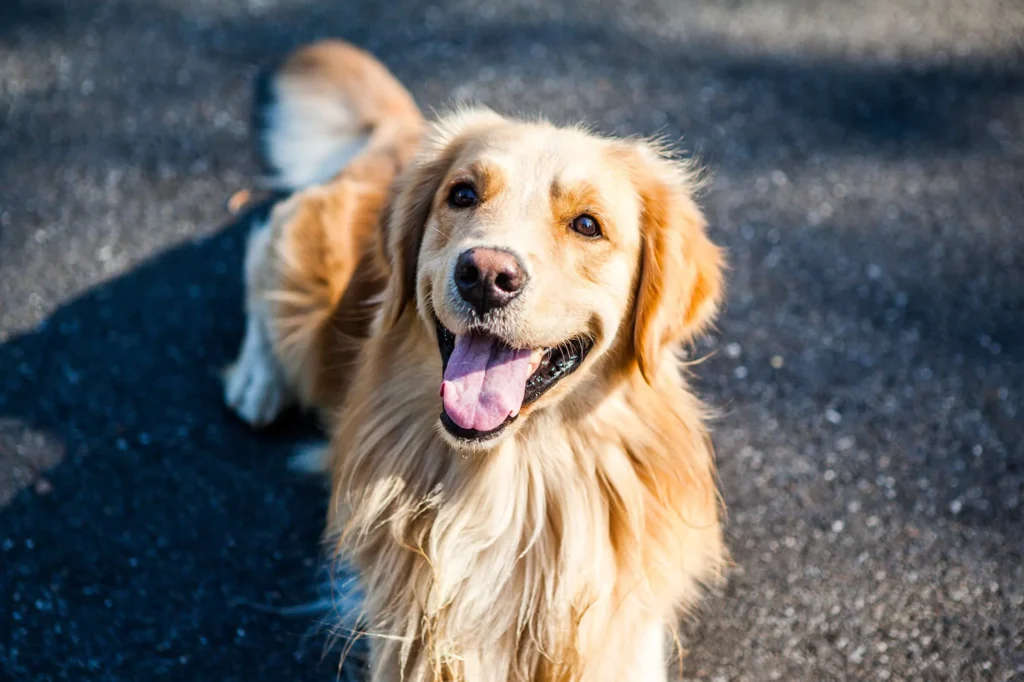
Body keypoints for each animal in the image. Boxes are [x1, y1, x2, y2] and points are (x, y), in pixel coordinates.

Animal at [226, 39, 729, 675]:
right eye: (462, 194)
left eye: (587, 224)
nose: (486, 275)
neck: (511, 481)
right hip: (304, 286)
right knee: (260, 245)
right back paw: (256, 379)